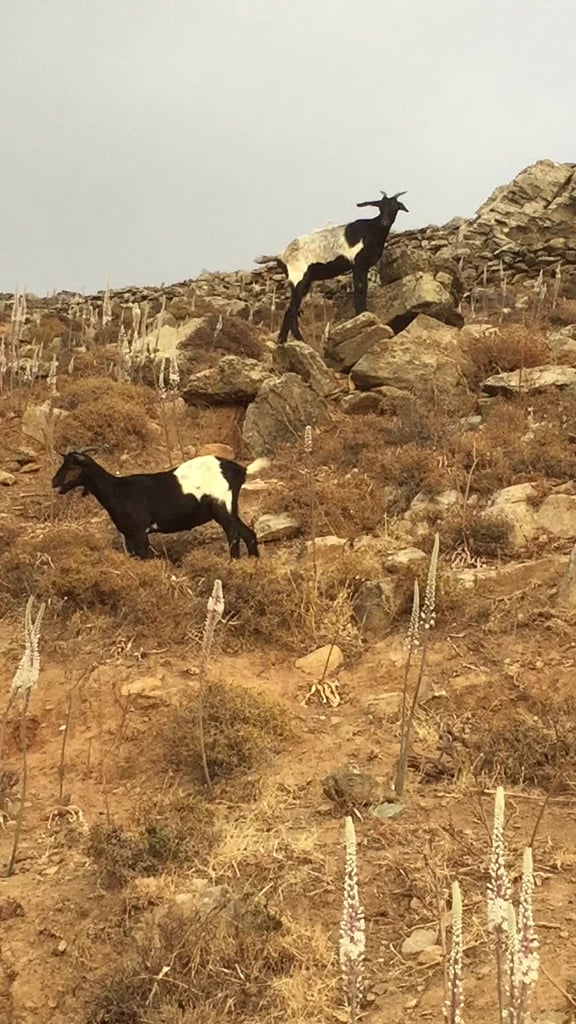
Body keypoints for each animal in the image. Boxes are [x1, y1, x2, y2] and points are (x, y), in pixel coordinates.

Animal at [51, 449, 269, 559]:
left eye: (73, 467)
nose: (54, 482)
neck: (118, 491)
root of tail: (240, 470)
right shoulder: (128, 535)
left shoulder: (140, 532)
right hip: (231, 509)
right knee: (249, 534)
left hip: (222, 506)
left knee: (233, 535)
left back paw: (233, 563)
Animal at [256, 191, 408, 344]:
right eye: (380, 206)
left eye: (395, 206)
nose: (385, 221)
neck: (372, 230)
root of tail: (280, 256)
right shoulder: (357, 264)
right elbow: (358, 288)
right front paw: (360, 314)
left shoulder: (364, 267)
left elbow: (364, 288)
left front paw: (364, 312)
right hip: (298, 278)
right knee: (291, 310)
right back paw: (292, 339)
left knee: (292, 309)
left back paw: (289, 340)